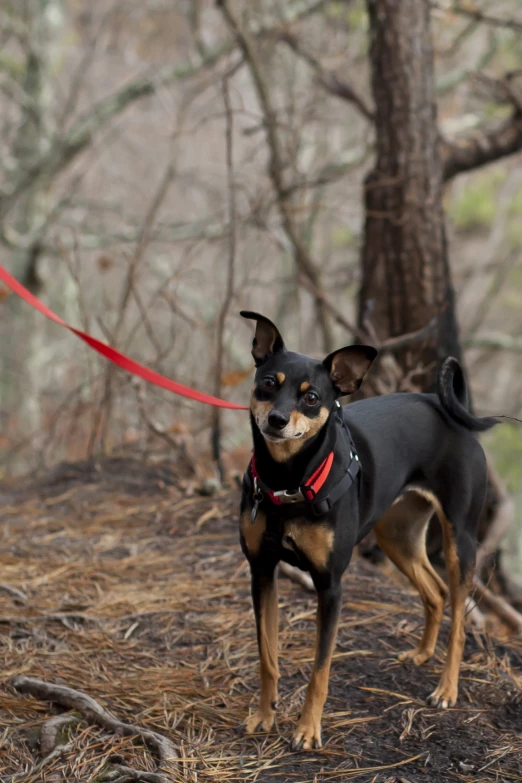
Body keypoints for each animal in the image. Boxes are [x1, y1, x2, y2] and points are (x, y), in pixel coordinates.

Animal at [238, 310, 498, 752]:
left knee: (460, 621)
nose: (276, 420)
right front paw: (264, 715)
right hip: (397, 535)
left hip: (459, 540)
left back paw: (446, 689)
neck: (287, 481)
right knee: (436, 593)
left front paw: (307, 729)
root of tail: (443, 405)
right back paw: (421, 654)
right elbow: (267, 657)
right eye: (268, 383)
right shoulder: (262, 573)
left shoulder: (330, 587)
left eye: (312, 398)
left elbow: (320, 671)